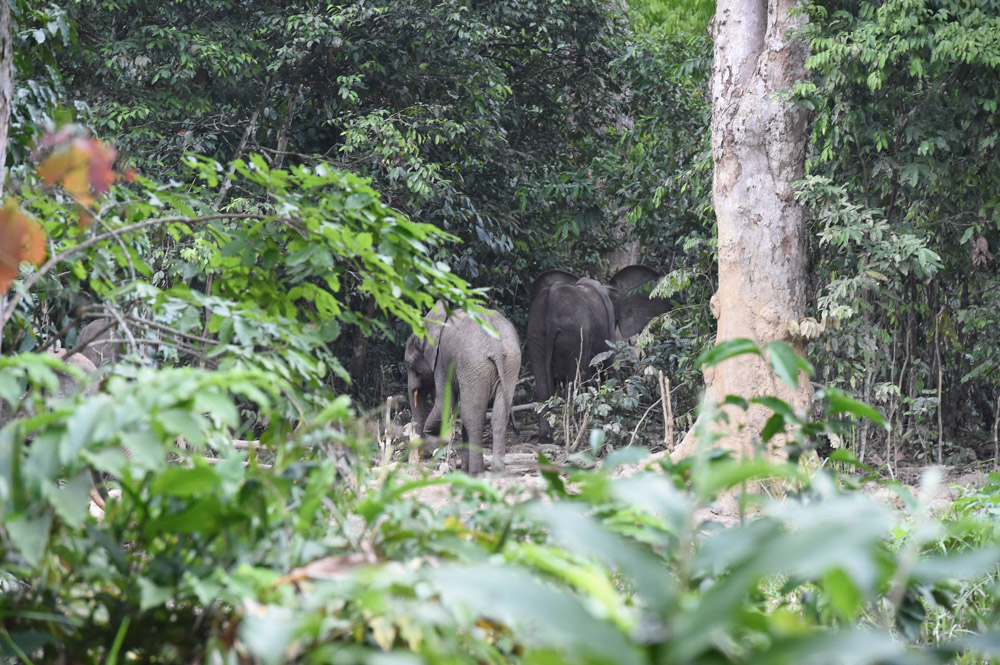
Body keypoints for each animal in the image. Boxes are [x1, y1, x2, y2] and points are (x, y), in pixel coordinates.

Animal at [404, 300, 524, 472]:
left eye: (409, 364)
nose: (423, 455)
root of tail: (495, 346)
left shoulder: (442, 361)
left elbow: (446, 404)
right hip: (511, 363)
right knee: (499, 416)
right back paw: (496, 471)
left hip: (474, 364)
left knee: (472, 415)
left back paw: (476, 472)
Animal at [524, 264, 672, 440]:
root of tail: (553, 297)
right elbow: (609, 364)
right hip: (574, 333)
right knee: (575, 378)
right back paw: (574, 433)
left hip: (535, 330)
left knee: (543, 381)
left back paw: (546, 436)